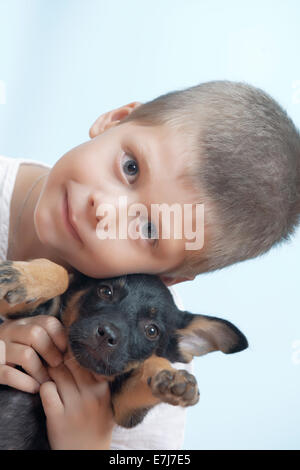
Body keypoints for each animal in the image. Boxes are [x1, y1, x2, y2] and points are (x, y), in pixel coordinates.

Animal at [0, 258, 247, 450]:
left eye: (152, 331)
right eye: (105, 291)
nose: (107, 334)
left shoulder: (124, 408)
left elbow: (147, 370)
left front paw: (172, 376)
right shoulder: (27, 314)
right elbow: (62, 273)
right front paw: (25, 277)